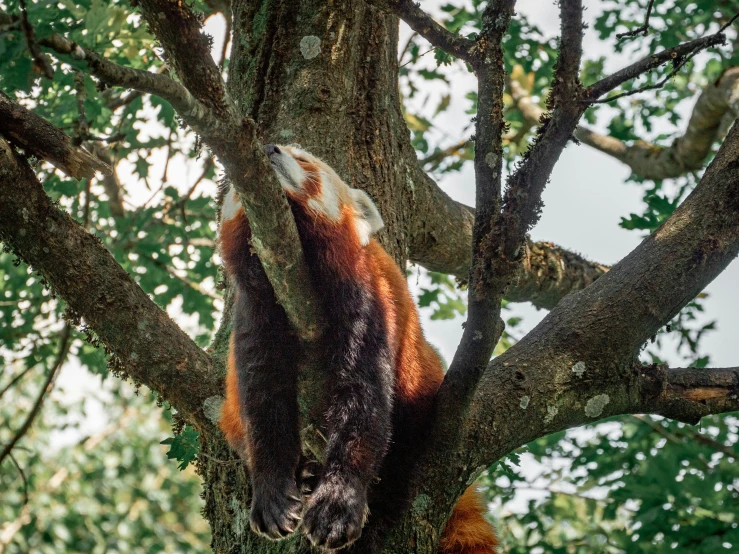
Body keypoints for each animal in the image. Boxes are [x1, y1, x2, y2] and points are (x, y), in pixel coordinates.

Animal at [218, 144, 498, 548]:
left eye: (305, 161)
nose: (269, 147)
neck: (291, 276)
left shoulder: (367, 303)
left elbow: (362, 401)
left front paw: (338, 504)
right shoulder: (255, 312)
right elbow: (263, 401)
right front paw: (272, 497)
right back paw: (305, 474)